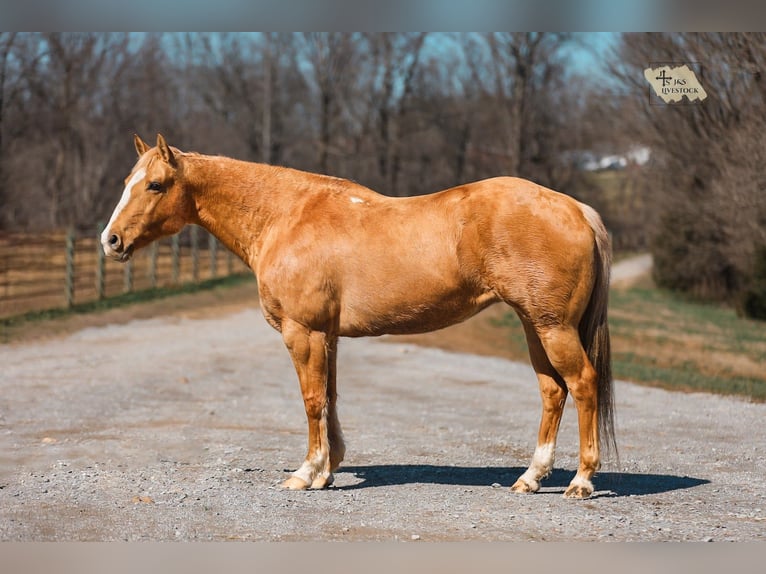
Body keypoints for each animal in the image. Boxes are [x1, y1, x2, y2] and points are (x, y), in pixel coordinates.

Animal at [101, 134, 616, 499]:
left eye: (154, 185)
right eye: (126, 183)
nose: (111, 240)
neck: (285, 216)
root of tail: (577, 209)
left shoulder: (303, 331)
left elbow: (311, 401)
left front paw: (306, 473)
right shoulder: (327, 335)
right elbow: (329, 398)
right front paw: (328, 470)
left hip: (553, 329)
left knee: (583, 385)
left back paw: (581, 481)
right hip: (535, 326)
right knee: (553, 391)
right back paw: (531, 477)